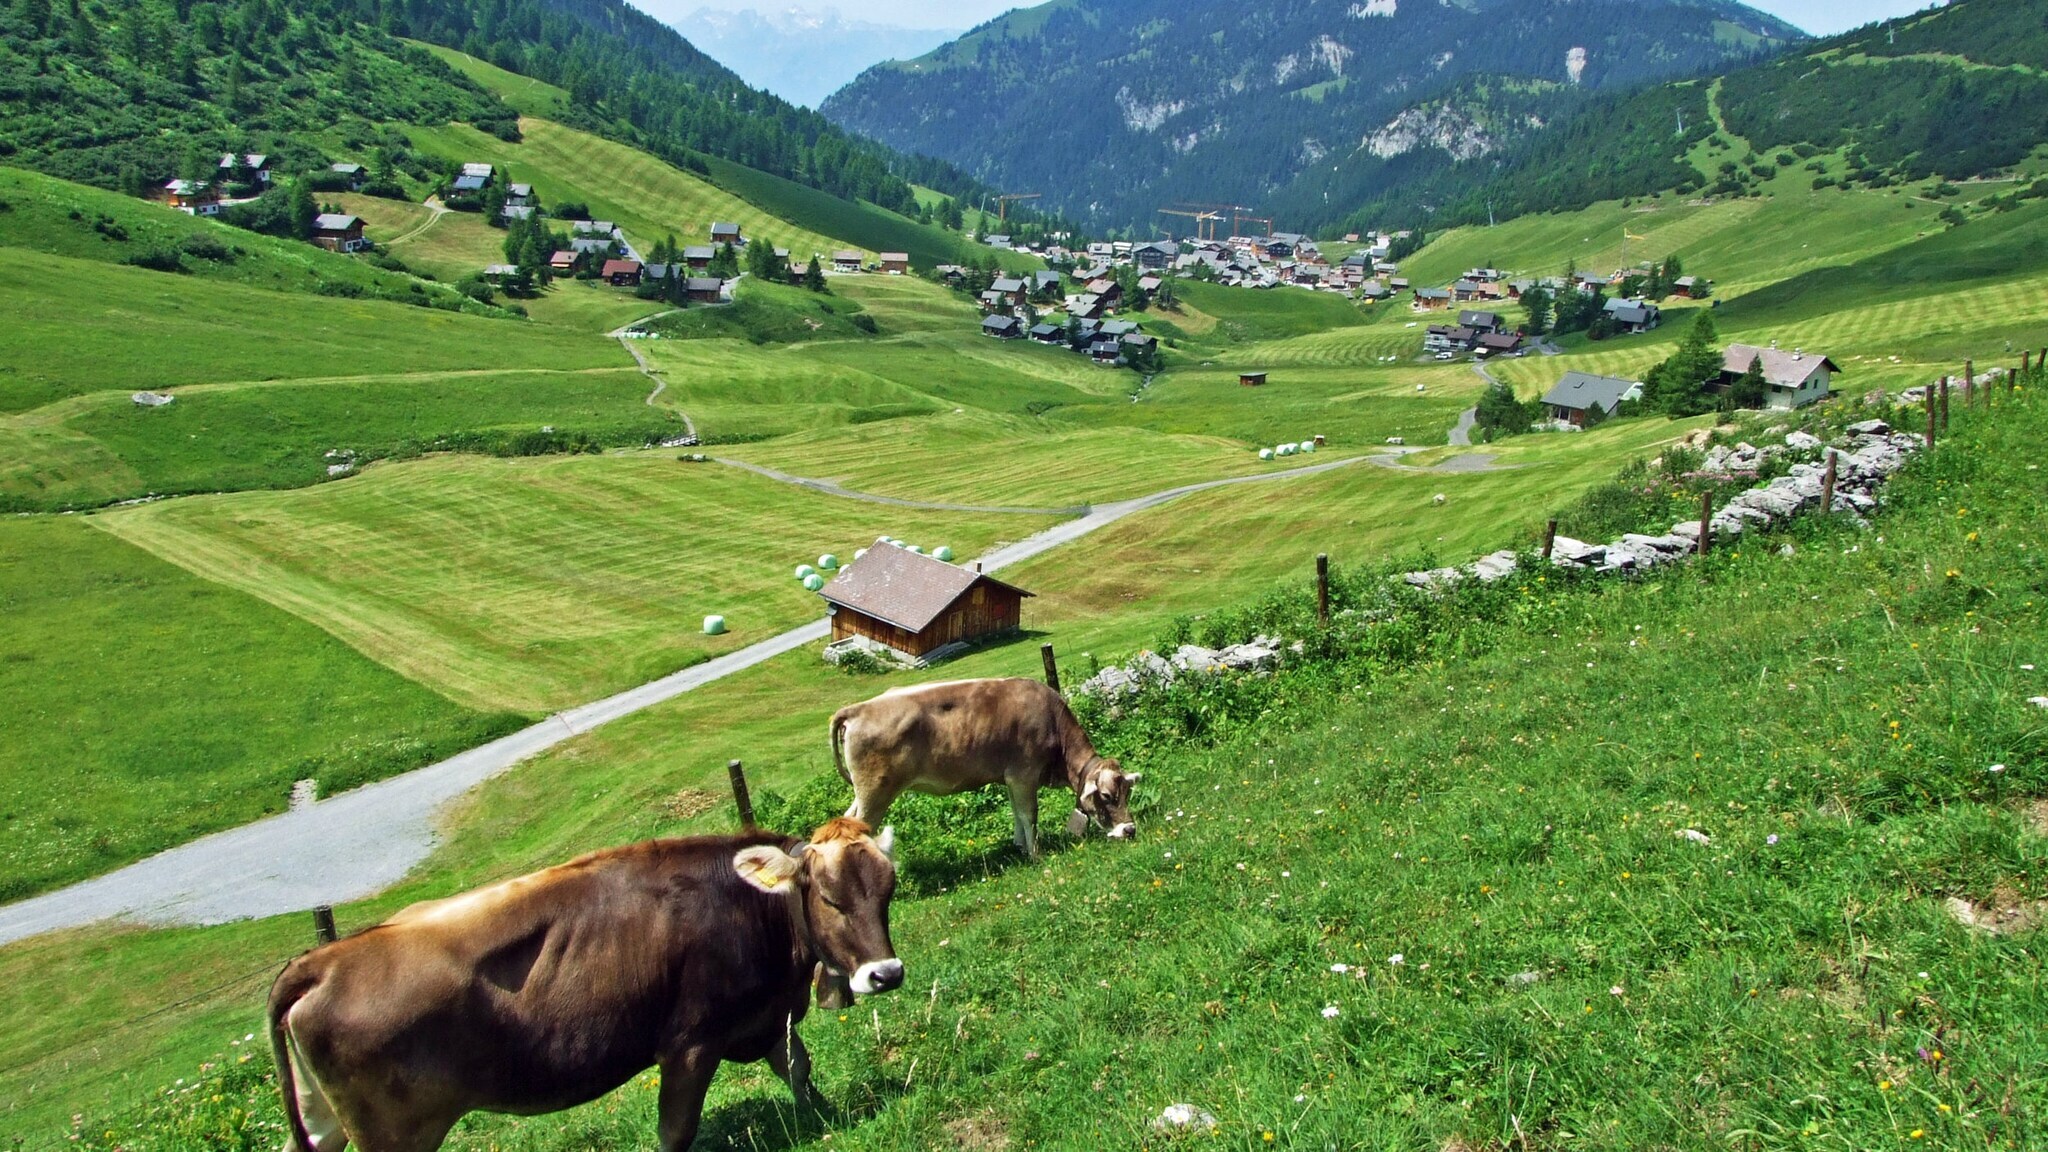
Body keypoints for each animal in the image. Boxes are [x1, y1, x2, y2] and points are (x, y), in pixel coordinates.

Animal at [265, 818, 903, 1152]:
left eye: (888, 890)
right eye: (829, 898)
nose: (886, 973)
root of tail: (323, 960)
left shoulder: (763, 1013)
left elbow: (797, 1065)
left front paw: (822, 1114)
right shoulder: (691, 1042)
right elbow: (676, 1129)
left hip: (325, 1121)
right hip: (393, 1135)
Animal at [830, 677, 1139, 859]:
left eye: (1129, 793)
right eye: (1107, 796)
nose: (1130, 830)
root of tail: (858, 708)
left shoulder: (1011, 777)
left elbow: (1016, 811)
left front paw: (1019, 845)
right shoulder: (1024, 773)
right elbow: (1029, 814)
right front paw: (1035, 854)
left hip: (865, 792)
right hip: (876, 791)